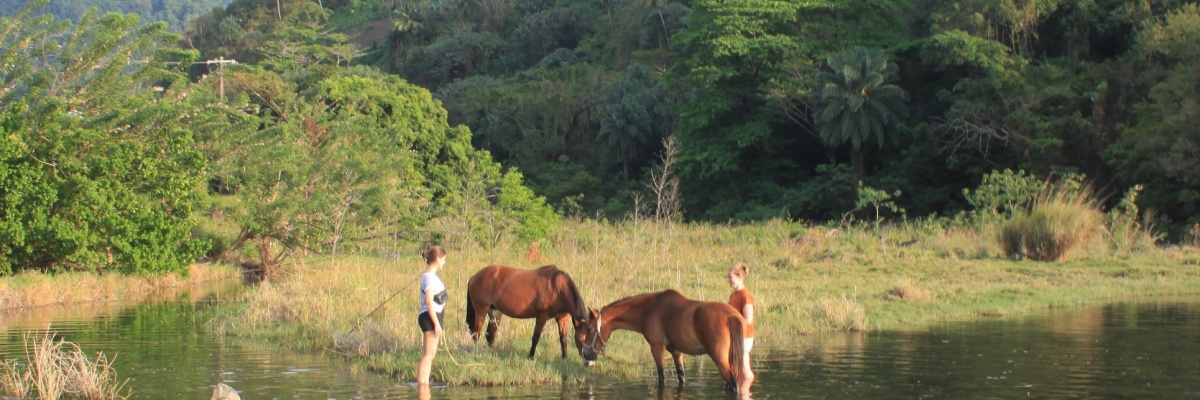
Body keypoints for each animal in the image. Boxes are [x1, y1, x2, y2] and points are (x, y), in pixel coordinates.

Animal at [460, 264, 588, 357]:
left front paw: (565, 357)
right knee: (476, 333)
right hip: (481, 311)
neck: (557, 288)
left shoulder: (562, 318)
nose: (587, 358)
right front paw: (531, 356)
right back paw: (477, 352)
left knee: (490, 335)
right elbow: (536, 338)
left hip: (495, 313)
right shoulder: (541, 317)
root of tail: (474, 277)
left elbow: (563, 338)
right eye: (580, 339)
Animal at [576, 288, 744, 391]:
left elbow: (662, 378)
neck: (649, 308)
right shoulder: (676, 351)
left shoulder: (657, 348)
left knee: (733, 383)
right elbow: (681, 377)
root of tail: (730, 316)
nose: (585, 354)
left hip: (719, 359)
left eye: (589, 329)